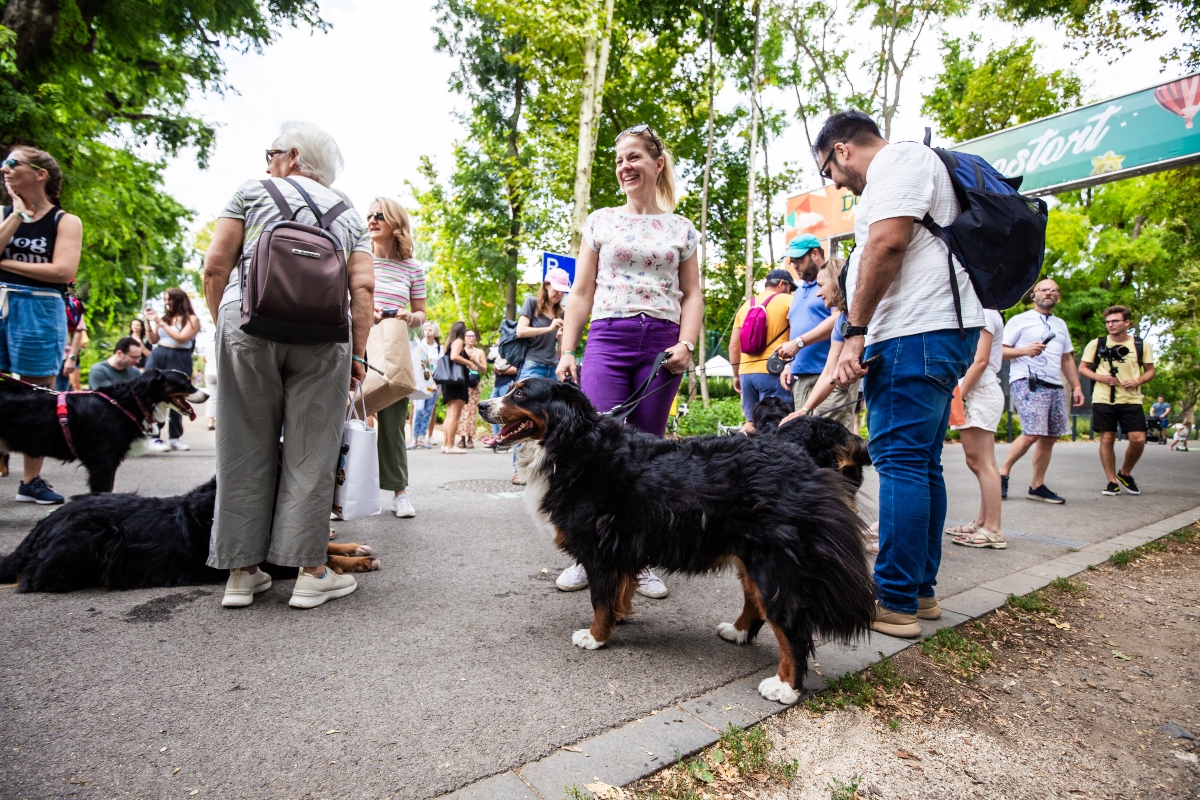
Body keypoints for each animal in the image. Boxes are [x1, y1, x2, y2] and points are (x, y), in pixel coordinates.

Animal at [475, 379, 873, 705]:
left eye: (521, 394)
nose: (480, 405)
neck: (571, 444)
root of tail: (805, 463)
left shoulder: (599, 549)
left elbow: (599, 598)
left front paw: (596, 636)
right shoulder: (621, 549)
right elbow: (618, 592)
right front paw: (617, 619)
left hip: (772, 562)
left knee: (790, 626)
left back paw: (785, 686)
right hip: (750, 558)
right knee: (755, 602)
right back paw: (738, 631)